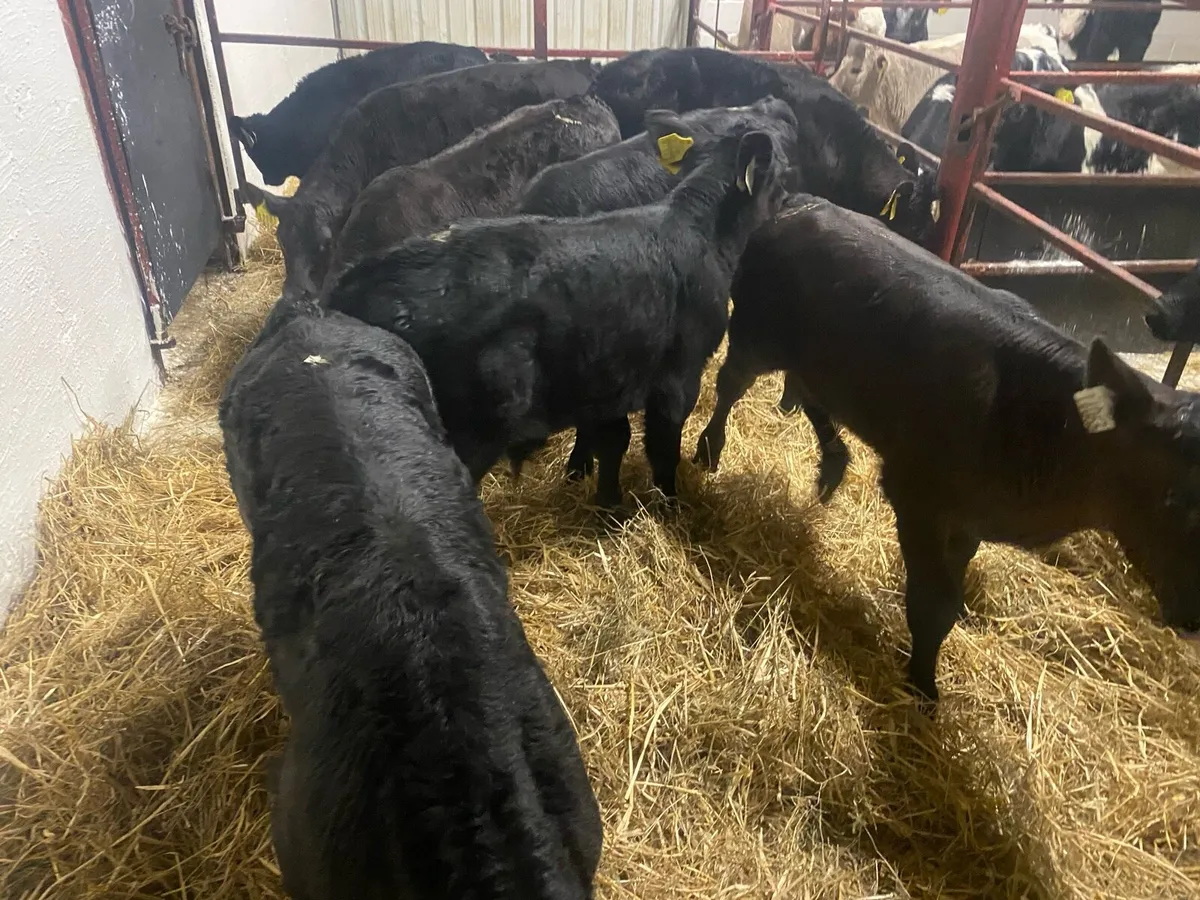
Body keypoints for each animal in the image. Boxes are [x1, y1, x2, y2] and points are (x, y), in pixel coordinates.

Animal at [324, 124, 793, 508]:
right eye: (778, 175)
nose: (791, 196)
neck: (702, 235)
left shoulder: (610, 373)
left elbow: (613, 442)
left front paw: (605, 500)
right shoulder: (679, 375)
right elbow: (663, 449)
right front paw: (668, 505)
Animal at [693, 194, 1200, 705]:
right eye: (1176, 498)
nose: (1193, 615)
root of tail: (800, 203)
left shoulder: (969, 514)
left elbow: (953, 588)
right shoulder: (919, 497)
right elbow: (931, 602)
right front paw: (923, 685)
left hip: (818, 360)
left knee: (810, 393)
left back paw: (834, 464)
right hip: (755, 332)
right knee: (730, 385)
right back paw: (709, 450)